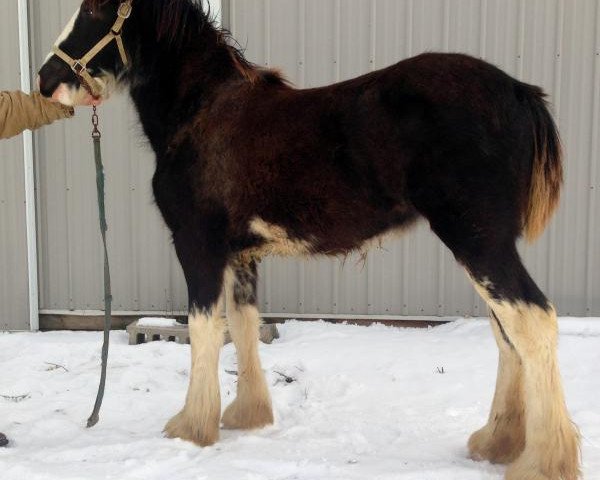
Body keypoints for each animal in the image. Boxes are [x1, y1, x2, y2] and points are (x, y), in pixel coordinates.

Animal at [38, 1, 580, 478]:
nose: (46, 80)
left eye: (95, 7)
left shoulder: (197, 246)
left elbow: (204, 328)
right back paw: (498, 443)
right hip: (485, 245)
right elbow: (243, 323)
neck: (203, 110)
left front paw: (191, 427)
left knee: (533, 321)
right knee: (506, 333)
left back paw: (542, 462)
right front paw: (246, 416)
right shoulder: (240, 255)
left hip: (477, 241)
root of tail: (519, 92)